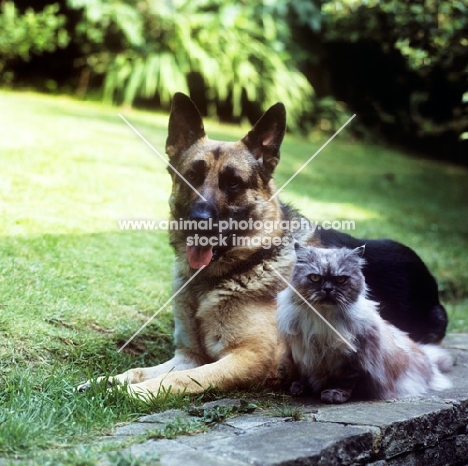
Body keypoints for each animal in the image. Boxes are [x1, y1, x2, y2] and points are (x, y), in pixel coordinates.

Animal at [276, 244, 452, 404]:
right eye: (315, 278)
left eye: (340, 279)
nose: (327, 289)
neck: (323, 319)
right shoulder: (302, 352)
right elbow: (304, 373)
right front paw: (300, 388)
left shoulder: (352, 357)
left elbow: (344, 381)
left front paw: (334, 394)